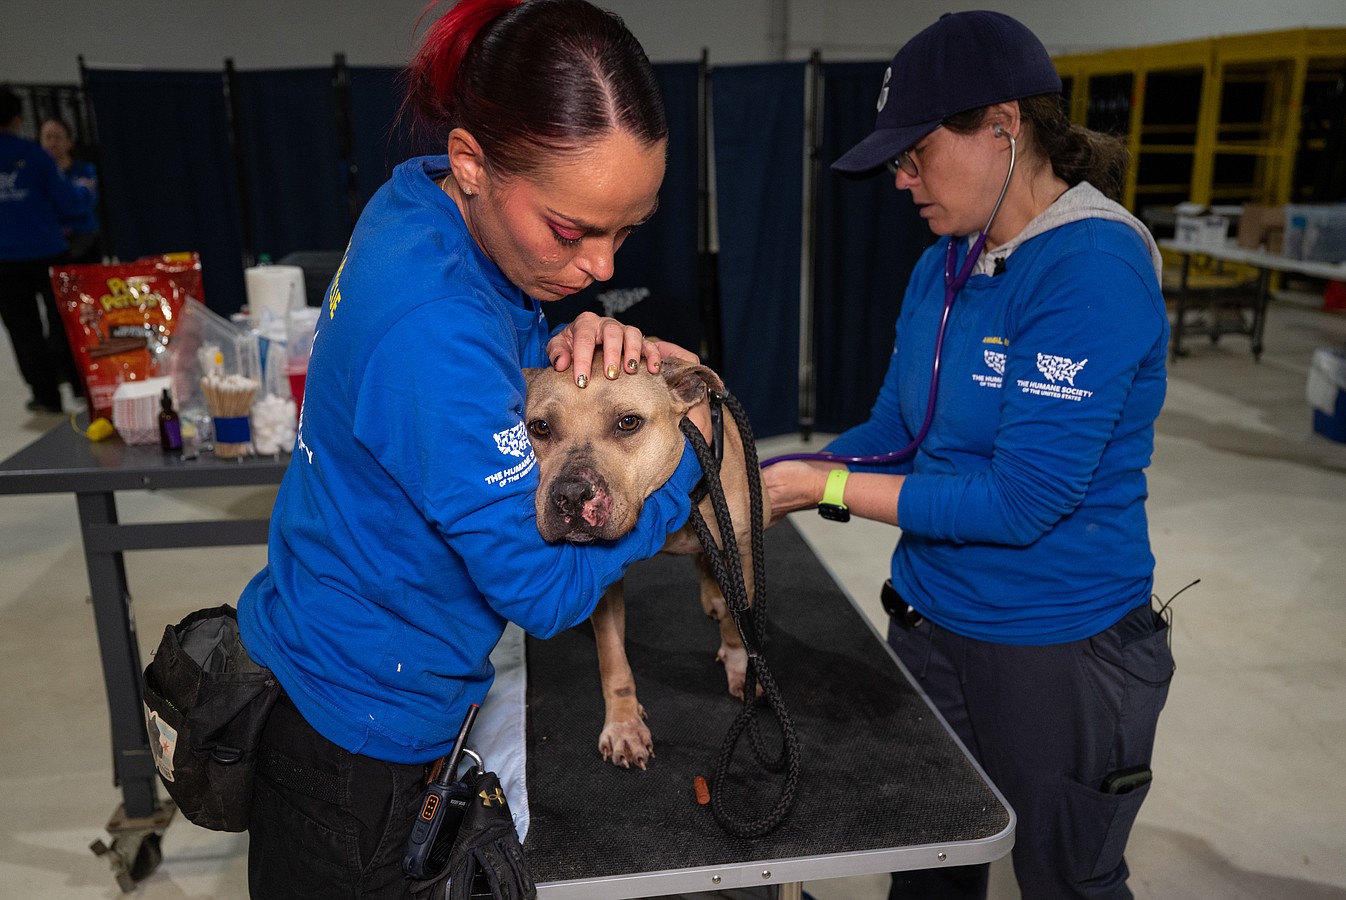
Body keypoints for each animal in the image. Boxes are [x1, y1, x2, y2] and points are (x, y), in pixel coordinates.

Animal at [519, 357, 769, 764]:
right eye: (540, 427)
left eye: (628, 422)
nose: (570, 495)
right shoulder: (601, 582)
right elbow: (613, 658)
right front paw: (624, 725)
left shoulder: (742, 550)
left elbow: (738, 626)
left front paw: (739, 669)